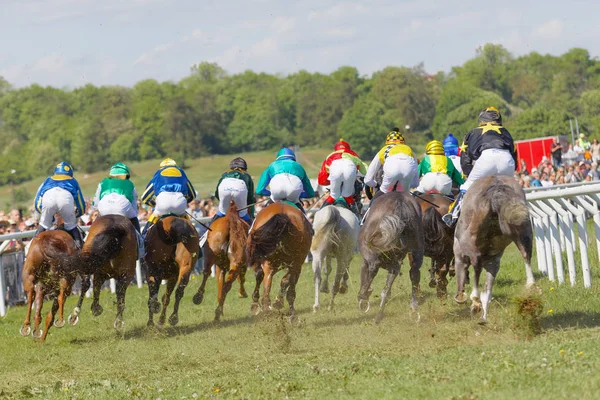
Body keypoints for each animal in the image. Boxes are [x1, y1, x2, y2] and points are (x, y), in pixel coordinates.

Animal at [358, 192, 424, 324]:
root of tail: (400, 201)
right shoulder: (395, 264)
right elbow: (387, 287)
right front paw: (379, 313)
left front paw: (364, 296)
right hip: (416, 250)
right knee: (414, 273)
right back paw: (413, 307)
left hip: (368, 248)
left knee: (373, 267)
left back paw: (363, 294)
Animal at [454, 174, 536, 322]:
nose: (459, 296)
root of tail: (496, 190)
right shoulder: (494, 260)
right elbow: (488, 286)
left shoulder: (462, 255)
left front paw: (472, 303)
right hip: (523, 229)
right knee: (526, 253)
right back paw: (531, 285)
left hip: (471, 242)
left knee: (476, 264)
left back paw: (475, 300)